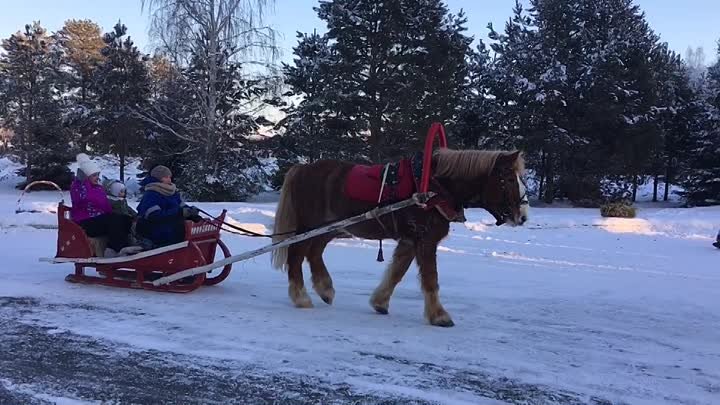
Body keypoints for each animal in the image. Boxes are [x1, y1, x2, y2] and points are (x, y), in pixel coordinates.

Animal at [270, 148, 528, 326]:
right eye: (507, 179)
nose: (523, 216)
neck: (434, 189)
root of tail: (303, 168)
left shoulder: (410, 240)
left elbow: (396, 273)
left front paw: (380, 302)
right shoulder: (425, 240)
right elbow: (431, 279)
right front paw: (439, 316)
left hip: (331, 228)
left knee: (314, 253)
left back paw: (325, 289)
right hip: (309, 227)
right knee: (296, 256)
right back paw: (301, 297)